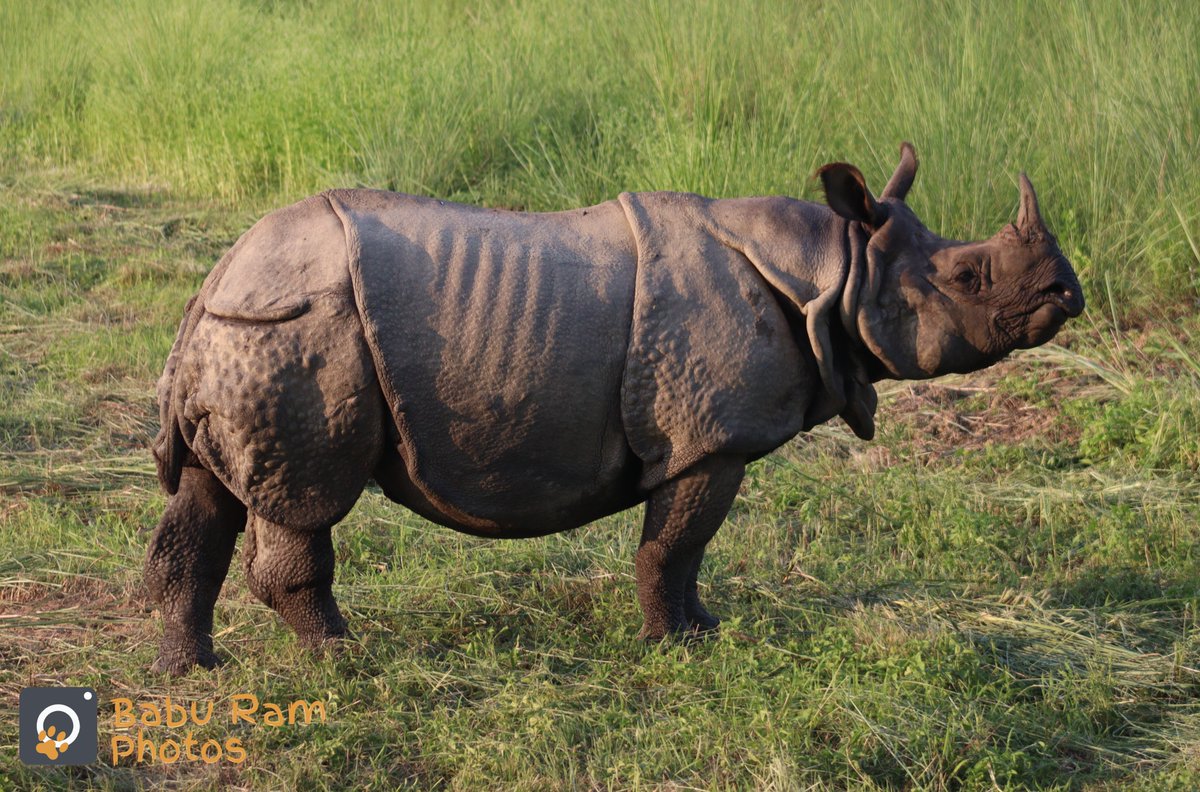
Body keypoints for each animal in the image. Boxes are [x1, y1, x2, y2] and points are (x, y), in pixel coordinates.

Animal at [145, 143, 1084, 674]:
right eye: (969, 277)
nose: (1067, 294)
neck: (836, 270)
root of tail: (215, 280)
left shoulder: (703, 436)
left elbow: (688, 553)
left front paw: (709, 630)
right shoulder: (710, 437)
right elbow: (674, 546)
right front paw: (677, 649)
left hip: (246, 333)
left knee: (208, 498)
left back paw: (190, 672)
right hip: (300, 328)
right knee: (302, 499)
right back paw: (343, 663)